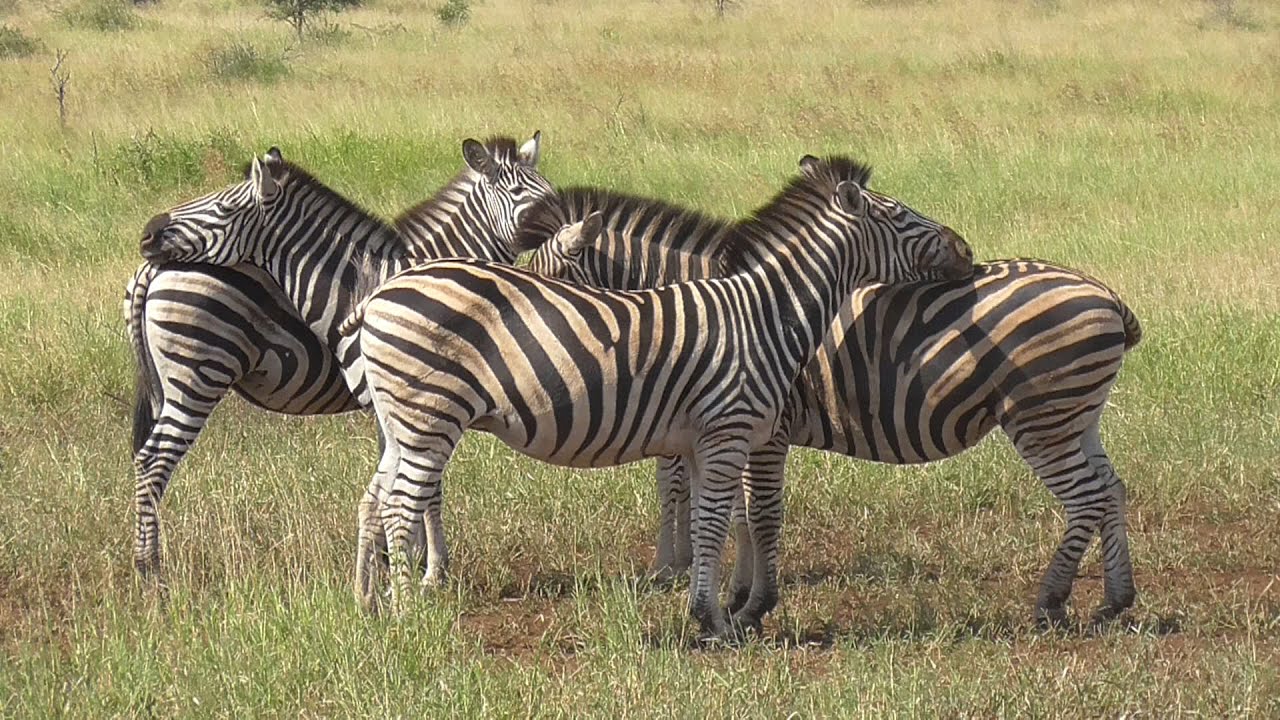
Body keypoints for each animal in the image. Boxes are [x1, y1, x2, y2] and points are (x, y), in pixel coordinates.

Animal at [127, 134, 552, 579]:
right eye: (522, 194)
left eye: (548, 190)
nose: (151, 232)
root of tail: (153, 268)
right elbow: (428, 486)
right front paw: (428, 565)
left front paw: (400, 558)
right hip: (197, 377)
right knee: (153, 462)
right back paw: (150, 570)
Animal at [524, 155, 1146, 622]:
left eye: (548, 285)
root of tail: (1106, 295)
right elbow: (738, 512)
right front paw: (733, 592)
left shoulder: (762, 429)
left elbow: (753, 512)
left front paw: (747, 604)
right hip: (1077, 415)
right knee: (1110, 488)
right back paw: (1115, 600)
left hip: (1042, 417)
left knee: (1086, 497)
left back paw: (1051, 602)